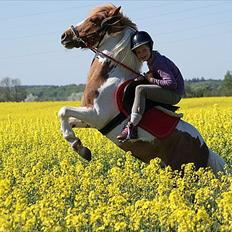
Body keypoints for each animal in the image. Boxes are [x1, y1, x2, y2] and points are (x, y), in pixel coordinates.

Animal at [58, 3, 225, 174]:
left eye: (94, 20)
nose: (64, 36)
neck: (109, 75)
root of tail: (206, 150)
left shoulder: (97, 115)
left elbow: (63, 111)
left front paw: (81, 150)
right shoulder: (91, 118)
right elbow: (68, 120)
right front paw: (78, 145)